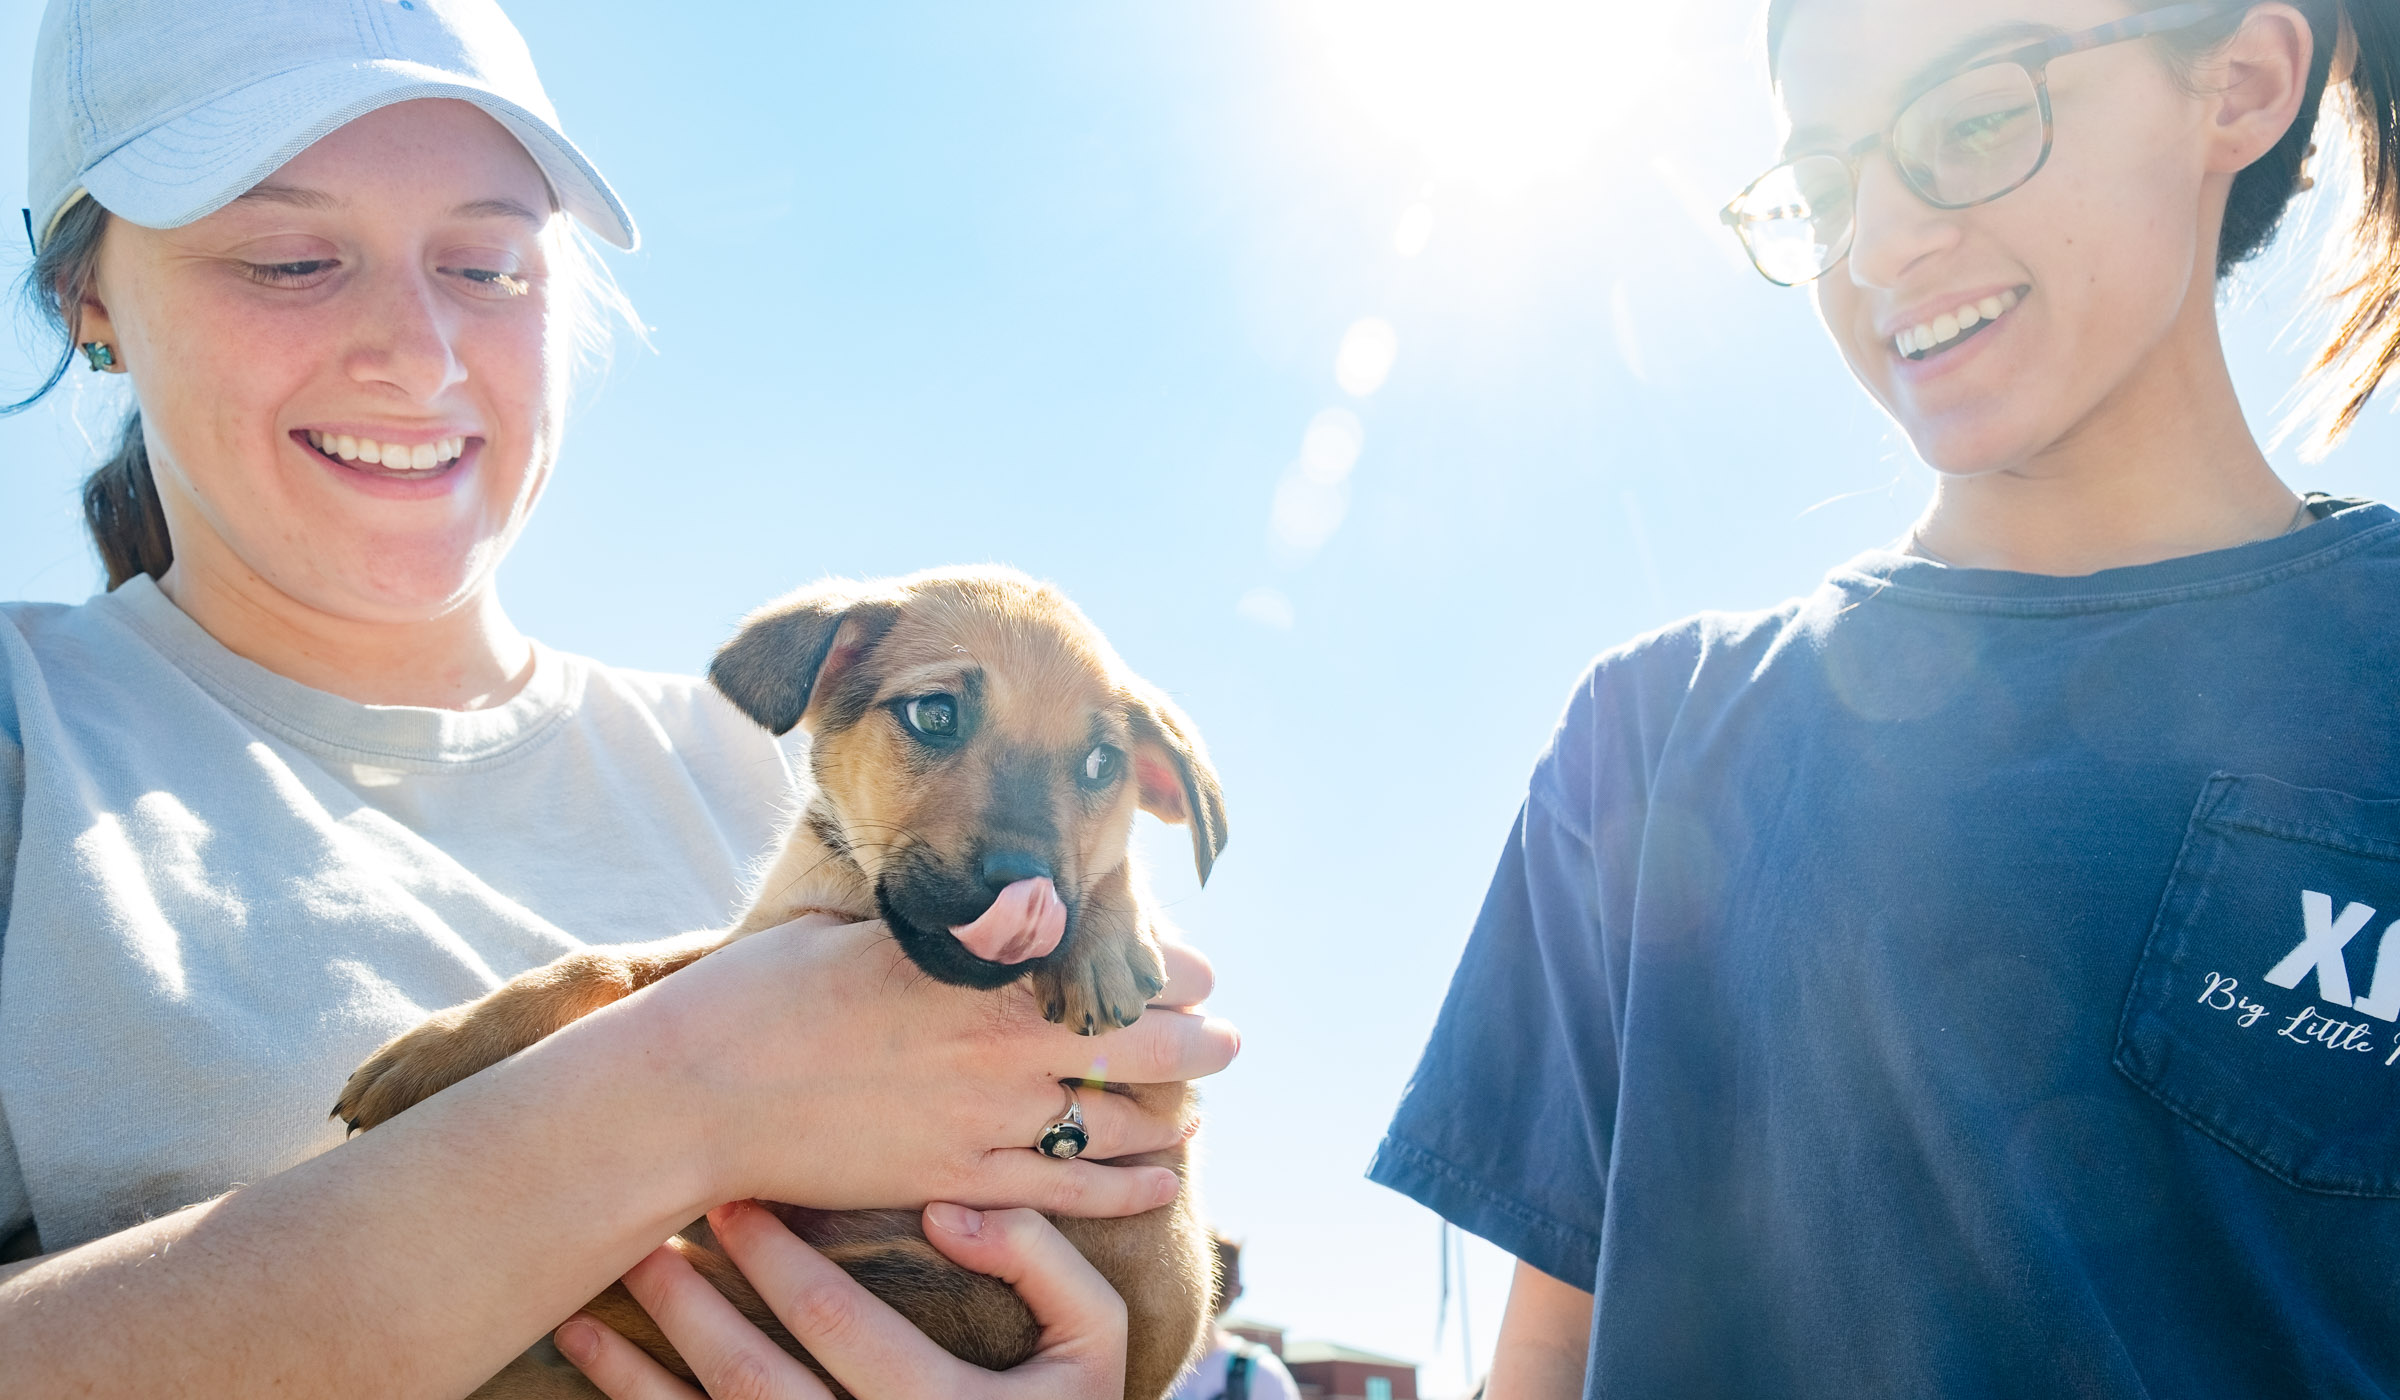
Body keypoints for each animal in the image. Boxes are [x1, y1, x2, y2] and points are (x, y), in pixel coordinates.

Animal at [336, 569, 1228, 1400]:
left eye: (1101, 764)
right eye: (935, 715)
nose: (1025, 887)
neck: (857, 900)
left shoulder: (1155, 1100)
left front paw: (1106, 940)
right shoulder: (754, 941)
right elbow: (605, 964)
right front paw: (440, 1050)